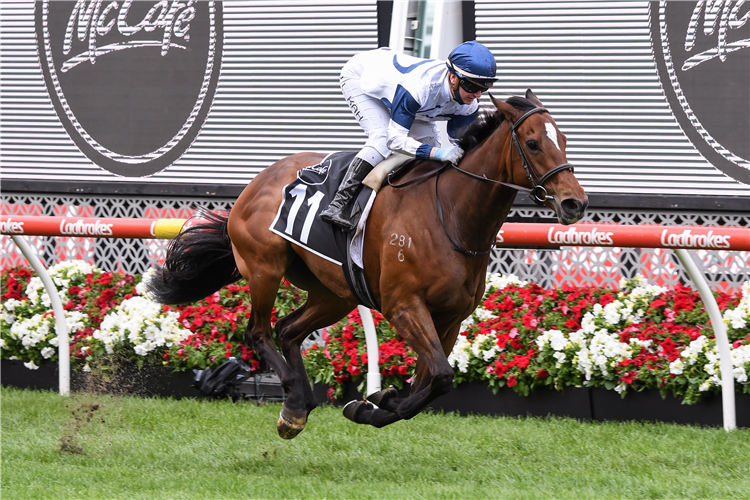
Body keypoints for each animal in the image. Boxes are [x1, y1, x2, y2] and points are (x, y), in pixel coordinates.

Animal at [150, 90, 592, 438]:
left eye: (564, 139)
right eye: (533, 143)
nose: (575, 202)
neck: (451, 214)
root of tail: (256, 183)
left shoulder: (451, 318)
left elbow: (432, 380)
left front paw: (375, 402)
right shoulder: (403, 305)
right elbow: (441, 376)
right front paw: (379, 399)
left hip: (334, 293)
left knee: (288, 330)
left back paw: (297, 406)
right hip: (264, 267)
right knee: (258, 331)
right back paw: (293, 400)